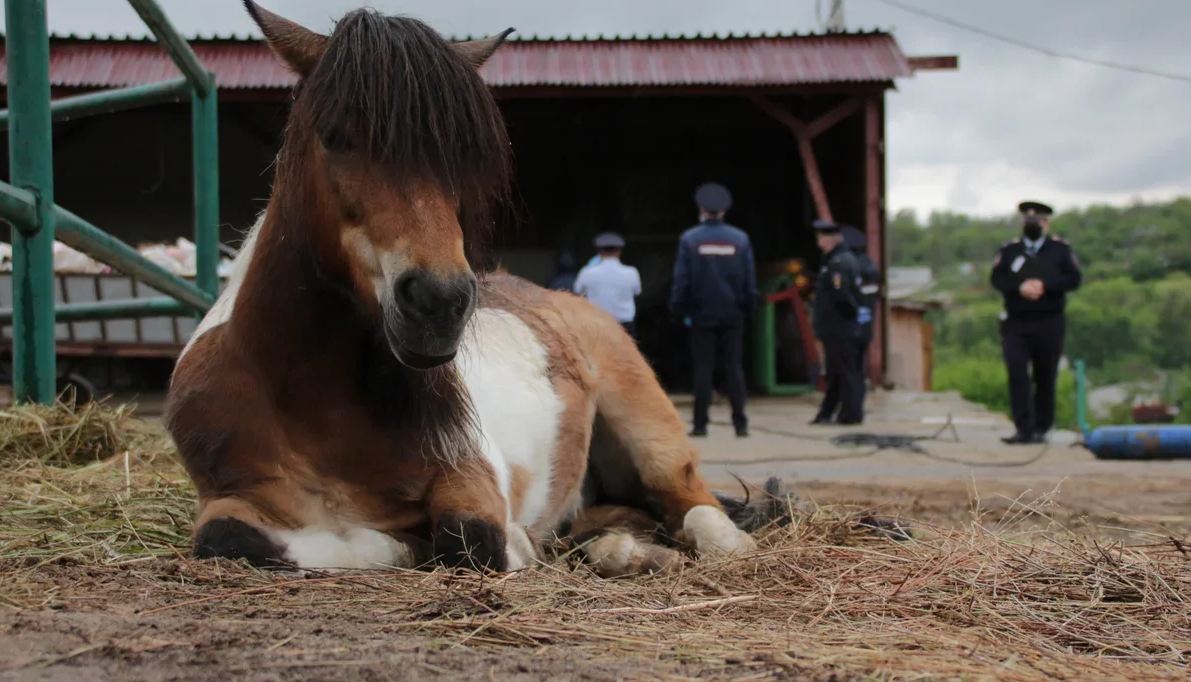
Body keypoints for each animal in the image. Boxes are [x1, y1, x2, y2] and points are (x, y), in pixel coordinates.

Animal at [167, 2, 752, 571]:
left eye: (464, 156)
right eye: (334, 136)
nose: (439, 301)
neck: (311, 414)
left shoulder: (470, 477)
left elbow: (467, 539)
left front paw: (438, 544)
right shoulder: (229, 498)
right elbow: (227, 537)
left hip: (648, 428)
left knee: (694, 503)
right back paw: (624, 550)